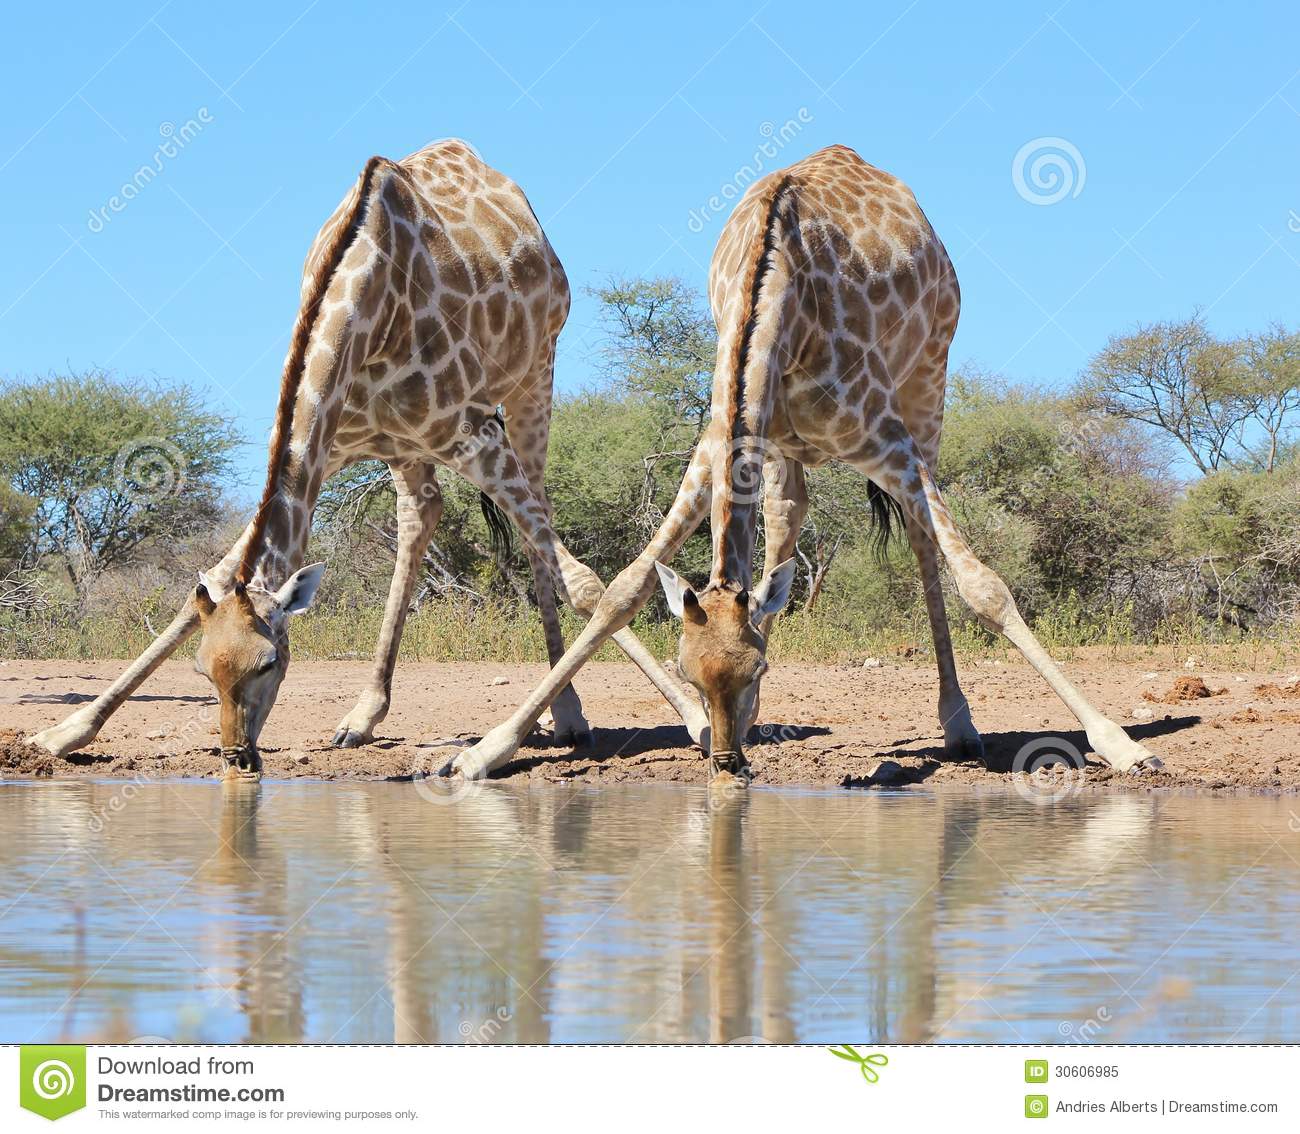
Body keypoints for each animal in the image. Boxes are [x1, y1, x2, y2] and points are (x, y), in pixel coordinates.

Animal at [30, 139, 707, 780]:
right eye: (204, 670)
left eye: (269, 663)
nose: (236, 757)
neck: (363, 298)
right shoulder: (329, 443)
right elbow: (218, 576)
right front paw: (64, 733)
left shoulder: (474, 434)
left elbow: (588, 582)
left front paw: (694, 713)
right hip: (406, 448)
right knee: (421, 517)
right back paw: (363, 714)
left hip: (532, 379)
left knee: (539, 531)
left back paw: (568, 715)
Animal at [441, 141, 1164, 785]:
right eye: (685, 671)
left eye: (754, 670)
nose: (725, 761)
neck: (776, 291)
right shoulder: (716, 443)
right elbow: (625, 589)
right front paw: (483, 753)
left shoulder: (886, 436)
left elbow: (984, 585)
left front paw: (1121, 745)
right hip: (784, 448)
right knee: (786, 529)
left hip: (927, 386)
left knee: (922, 540)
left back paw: (960, 724)